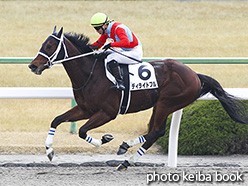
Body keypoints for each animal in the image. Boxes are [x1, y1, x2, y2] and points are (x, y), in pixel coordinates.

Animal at [28, 26, 248, 171]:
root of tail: (195, 75)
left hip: (166, 103)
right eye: (43, 44)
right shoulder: (85, 109)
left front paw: (106, 138)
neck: (91, 73)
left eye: (50, 45)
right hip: (160, 105)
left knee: (156, 132)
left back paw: (125, 154)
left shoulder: (108, 112)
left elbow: (82, 131)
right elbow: (56, 120)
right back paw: (126, 153)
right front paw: (49, 151)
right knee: (154, 132)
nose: (33, 65)